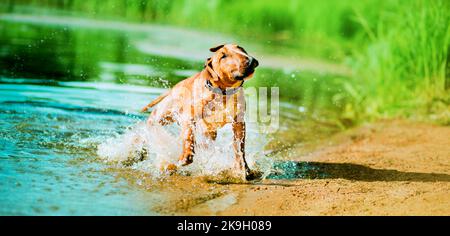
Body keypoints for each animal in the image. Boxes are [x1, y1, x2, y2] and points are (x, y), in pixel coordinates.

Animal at [141, 44, 260, 180]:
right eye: (223, 56)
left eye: (240, 48)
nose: (250, 60)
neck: (224, 92)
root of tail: (174, 88)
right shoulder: (188, 116)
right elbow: (189, 137)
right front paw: (185, 157)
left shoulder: (238, 122)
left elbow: (239, 147)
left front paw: (243, 168)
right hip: (160, 117)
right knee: (148, 130)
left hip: (209, 132)